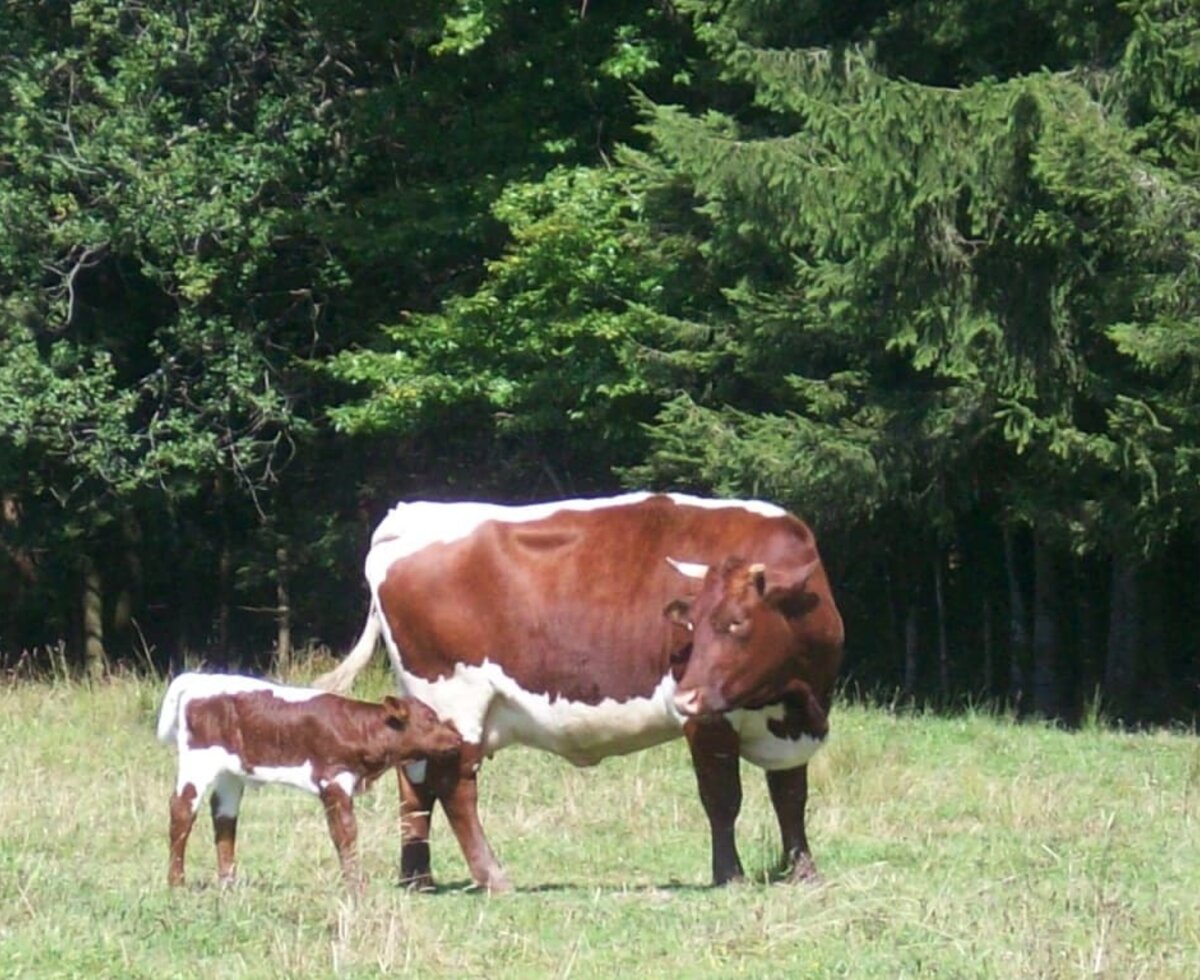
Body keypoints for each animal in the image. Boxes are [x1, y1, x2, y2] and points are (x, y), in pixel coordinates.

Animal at [156, 671, 463, 887]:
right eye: (429, 718)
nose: (458, 737)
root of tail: (198, 678)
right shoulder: (333, 779)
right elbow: (345, 832)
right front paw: (355, 886)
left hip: (230, 774)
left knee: (224, 818)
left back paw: (228, 883)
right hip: (198, 761)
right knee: (182, 811)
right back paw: (176, 882)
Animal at [319, 494, 844, 892]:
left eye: (736, 623)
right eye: (691, 624)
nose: (685, 697)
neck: (793, 697)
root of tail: (412, 513)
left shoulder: (797, 720)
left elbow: (790, 796)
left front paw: (804, 871)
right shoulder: (710, 722)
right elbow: (722, 797)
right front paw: (730, 875)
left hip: (422, 705)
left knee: (415, 782)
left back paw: (417, 878)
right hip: (455, 700)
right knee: (454, 787)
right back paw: (492, 877)